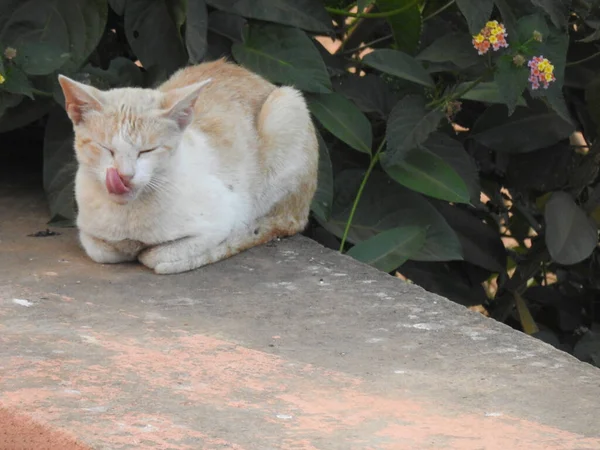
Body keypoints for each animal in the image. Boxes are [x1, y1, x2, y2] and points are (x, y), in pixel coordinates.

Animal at [57, 59, 318, 274]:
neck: (127, 218)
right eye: (106, 149)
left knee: (282, 223)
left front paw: (146, 252)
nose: (124, 175)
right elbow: (103, 250)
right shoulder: (89, 233)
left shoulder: (221, 219)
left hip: (286, 105)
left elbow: (155, 256)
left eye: (147, 151)